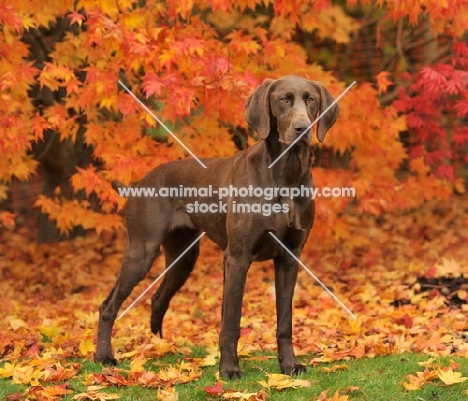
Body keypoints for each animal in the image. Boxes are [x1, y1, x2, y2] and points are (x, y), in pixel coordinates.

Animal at [95, 75, 338, 378]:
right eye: (283, 99)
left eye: (311, 100)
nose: (302, 128)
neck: (285, 175)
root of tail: (138, 184)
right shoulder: (237, 258)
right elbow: (231, 321)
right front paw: (230, 369)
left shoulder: (289, 258)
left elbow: (285, 321)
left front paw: (289, 364)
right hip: (141, 252)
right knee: (108, 305)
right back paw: (104, 356)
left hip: (183, 258)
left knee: (158, 299)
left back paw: (158, 347)